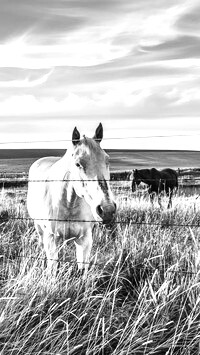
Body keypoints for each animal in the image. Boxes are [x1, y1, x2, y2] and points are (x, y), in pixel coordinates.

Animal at [27, 124, 116, 274]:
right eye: (78, 164)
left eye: (107, 160)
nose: (107, 210)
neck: (69, 204)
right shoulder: (51, 239)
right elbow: (52, 269)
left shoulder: (85, 240)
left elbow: (82, 269)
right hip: (39, 227)